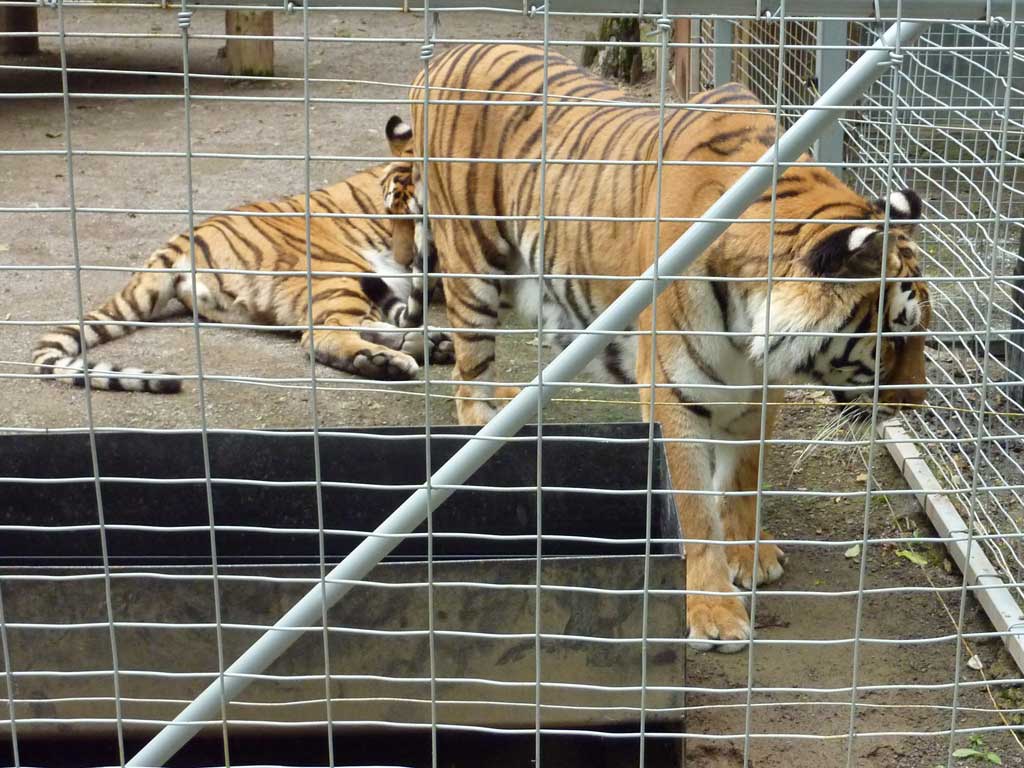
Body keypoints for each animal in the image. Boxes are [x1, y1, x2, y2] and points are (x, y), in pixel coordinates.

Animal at [33, 124, 452, 397]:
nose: (405, 256)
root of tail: (183, 238)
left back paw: (430, 344)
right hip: (338, 271)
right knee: (322, 333)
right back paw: (384, 361)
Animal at [395, 43, 933, 655]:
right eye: (895, 335)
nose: (917, 405)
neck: (750, 327)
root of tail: (443, 56)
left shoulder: (758, 392)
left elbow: (741, 480)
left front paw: (749, 554)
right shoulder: (675, 395)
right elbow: (694, 508)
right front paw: (714, 609)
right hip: (473, 267)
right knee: (468, 370)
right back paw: (481, 428)